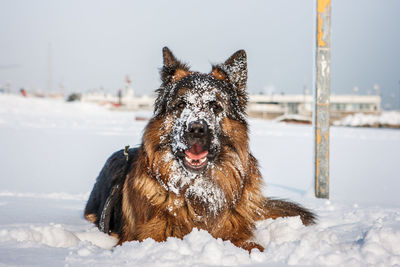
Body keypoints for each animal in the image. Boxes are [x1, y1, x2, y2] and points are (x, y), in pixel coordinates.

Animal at [84, 47, 316, 252]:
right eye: (180, 105)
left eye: (215, 106)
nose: (196, 129)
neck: (197, 191)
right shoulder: (146, 237)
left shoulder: (235, 232)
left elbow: (254, 247)